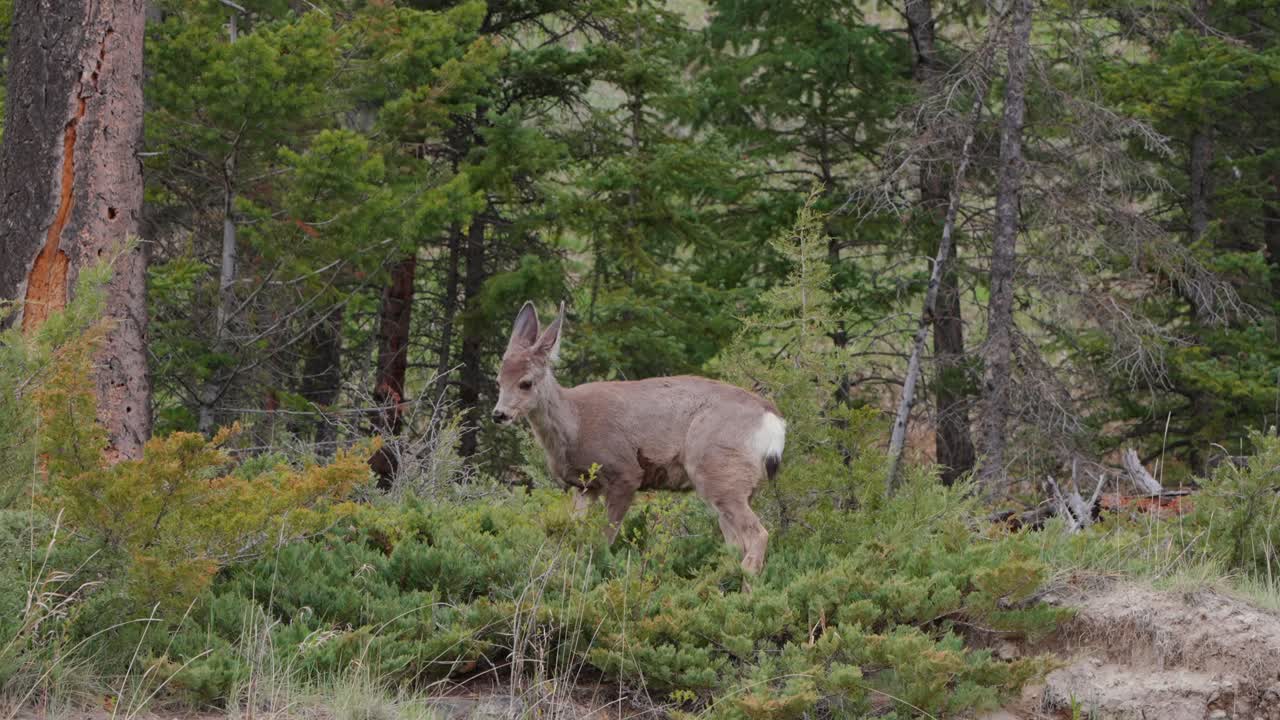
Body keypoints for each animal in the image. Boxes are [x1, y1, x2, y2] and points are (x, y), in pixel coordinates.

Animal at [491, 301, 785, 575]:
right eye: (498, 380)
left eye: (526, 382)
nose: (499, 414)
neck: (574, 424)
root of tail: (774, 420)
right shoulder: (585, 486)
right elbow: (573, 536)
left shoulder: (624, 472)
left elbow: (602, 540)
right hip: (737, 484)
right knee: (735, 544)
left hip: (719, 471)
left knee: (757, 536)